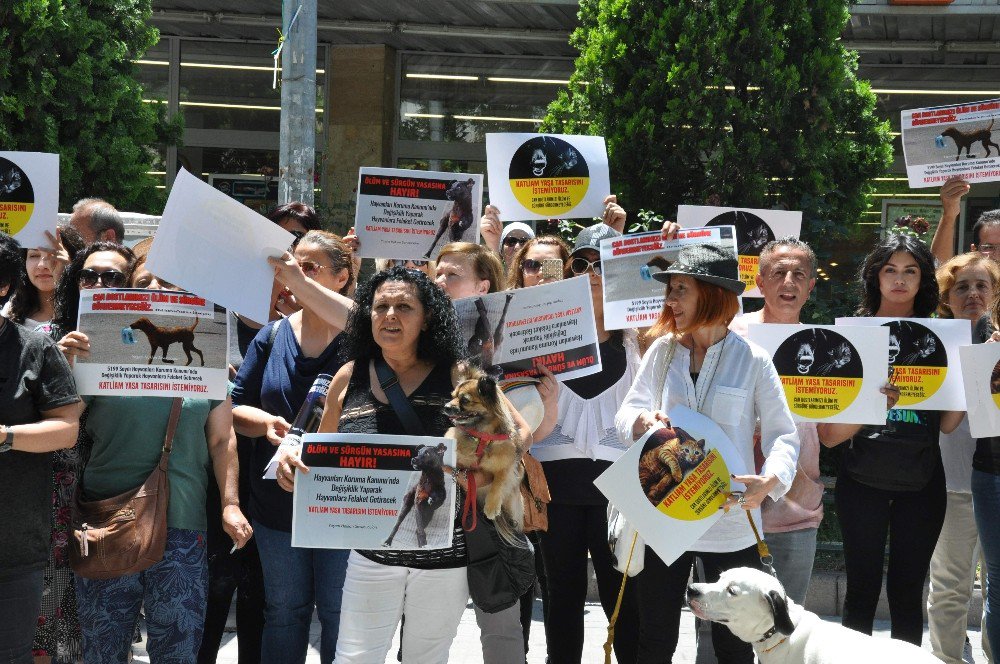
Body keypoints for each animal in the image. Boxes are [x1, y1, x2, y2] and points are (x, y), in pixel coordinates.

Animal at [444, 364, 524, 544]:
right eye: (452, 396)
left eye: (464, 400)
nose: (445, 406)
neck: (482, 437)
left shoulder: (507, 465)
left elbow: (499, 482)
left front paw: (492, 506)